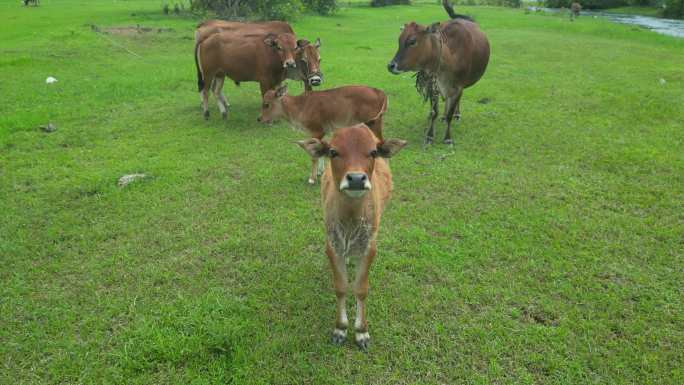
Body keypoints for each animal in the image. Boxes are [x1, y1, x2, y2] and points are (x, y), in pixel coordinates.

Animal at [296, 124, 406, 350]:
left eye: (373, 152)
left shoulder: (369, 246)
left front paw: (362, 333)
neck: (349, 227)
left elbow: (361, 289)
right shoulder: (331, 245)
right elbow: (340, 287)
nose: (356, 178)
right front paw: (340, 330)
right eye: (333, 152)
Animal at [388, 0, 488, 144]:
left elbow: (451, 112)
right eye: (399, 40)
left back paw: (456, 114)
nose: (390, 66)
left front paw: (448, 138)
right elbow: (435, 111)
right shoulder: (433, 86)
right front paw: (429, 135)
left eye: (412, 41)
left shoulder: (458, 87)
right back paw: (443, 116)